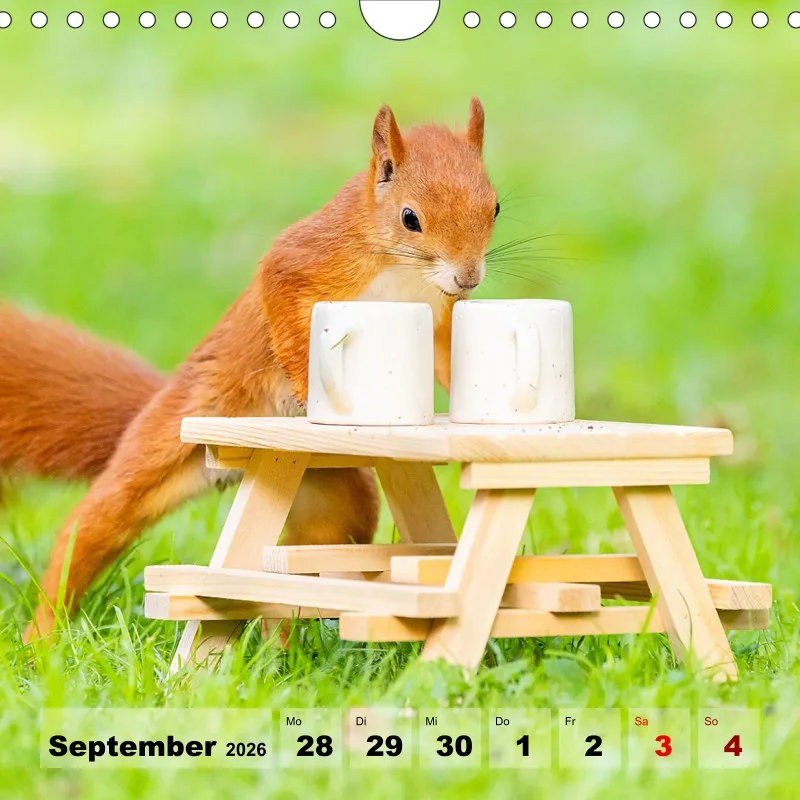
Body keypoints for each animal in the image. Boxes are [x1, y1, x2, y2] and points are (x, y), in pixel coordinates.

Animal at [0, 98, 499, 641]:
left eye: (495, 206)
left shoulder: (437, 310)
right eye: (411, 218)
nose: (468, 276)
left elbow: (449, 352)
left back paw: (279, 643)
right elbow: (284, 310)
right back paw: (42, 635)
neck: (403, 272)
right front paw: (308, 388)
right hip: (159, 447)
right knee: (89, 528)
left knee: (293, 569)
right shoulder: (303, 261)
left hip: (336, 495)